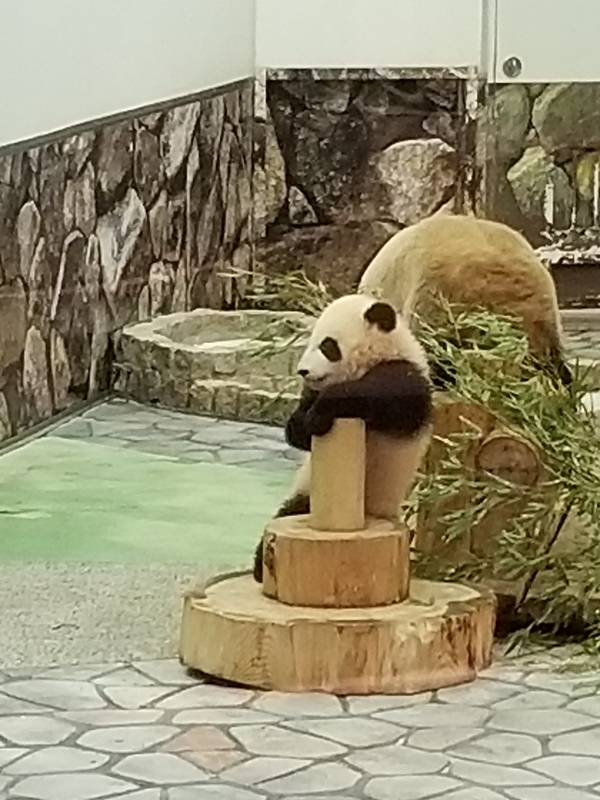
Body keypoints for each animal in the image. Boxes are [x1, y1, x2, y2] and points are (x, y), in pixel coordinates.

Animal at [253, 293, 433, 583]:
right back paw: (260, 565)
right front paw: (303, 423)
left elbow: (382, 396)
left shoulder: (407, 380)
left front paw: (320, 413)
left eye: (327, 346)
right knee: (290, 511)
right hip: (308, 491)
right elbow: (298, 433)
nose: (303, 371)